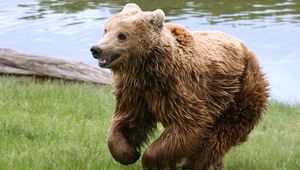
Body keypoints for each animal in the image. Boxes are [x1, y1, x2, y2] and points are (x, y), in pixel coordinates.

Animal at [89, 2, 270, 170]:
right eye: (106, 30)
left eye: (122, 35)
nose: (96, 49)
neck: (148, 70)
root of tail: (246, 49)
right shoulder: (134, 91)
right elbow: (129, 120)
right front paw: (129, 153)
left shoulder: (177, 88)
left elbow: (189, 124)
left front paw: (150, 160)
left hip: (240, 90)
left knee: (220, 136)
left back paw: (195, 164)